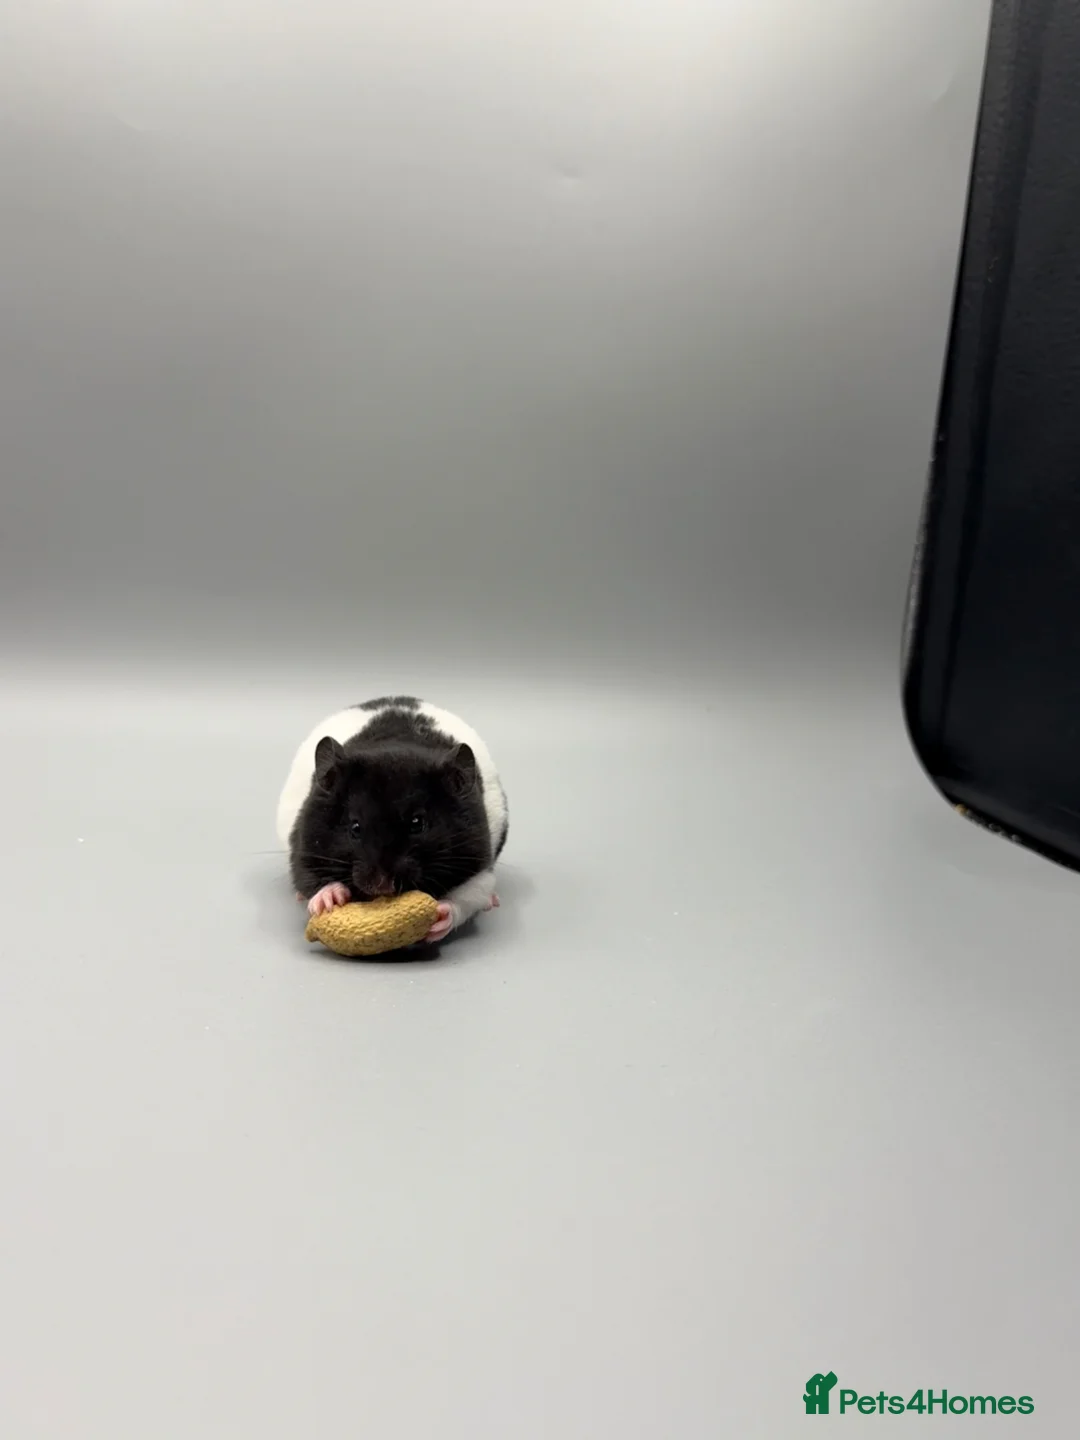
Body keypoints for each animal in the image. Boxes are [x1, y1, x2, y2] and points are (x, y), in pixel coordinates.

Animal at [276, 696, 508, 945]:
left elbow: (470, 894)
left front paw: (440, 915)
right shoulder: (303, 849)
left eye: (418, 823)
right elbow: (308, 878)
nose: (382, 886)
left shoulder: (479, 863)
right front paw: (330, 900)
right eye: (355, 827)